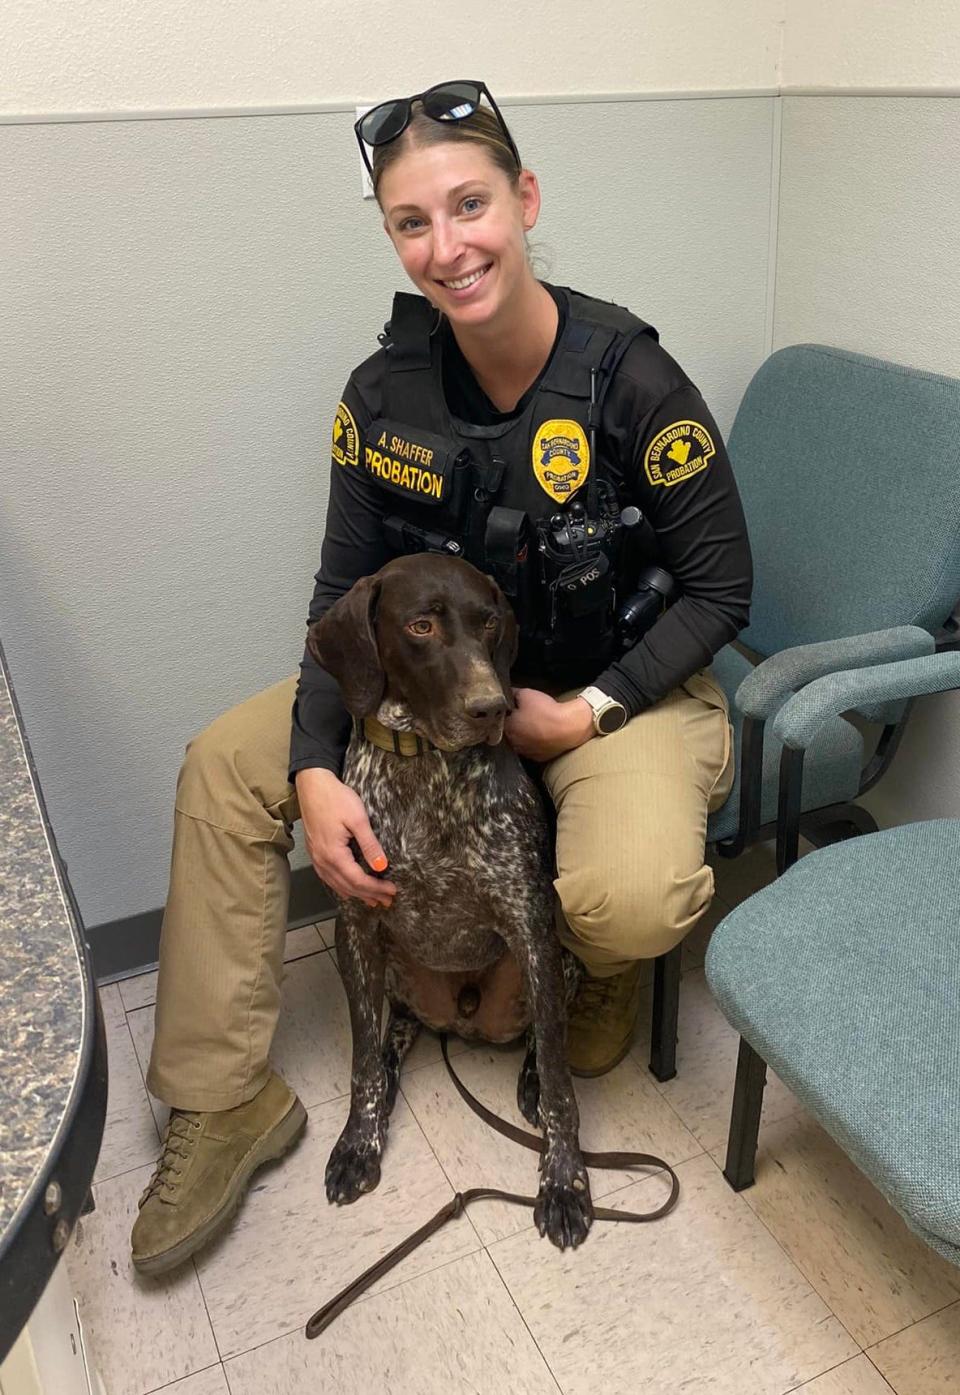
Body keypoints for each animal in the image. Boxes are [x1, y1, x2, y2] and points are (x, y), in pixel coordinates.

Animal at [309, 549, 591, 1249]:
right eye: (421, 627)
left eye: (489, 623)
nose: (492, 707)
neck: (423, 766)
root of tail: (460, 1019)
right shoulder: (355, 924)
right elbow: (360, 1058)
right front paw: (359, 1139)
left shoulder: (530, 927)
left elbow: (561, 1082)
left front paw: (563, 1181)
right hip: (378, 963)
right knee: (392, 1029)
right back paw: (390, 1068)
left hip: (562, 963)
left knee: (544, 1042)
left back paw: (529, 1078)